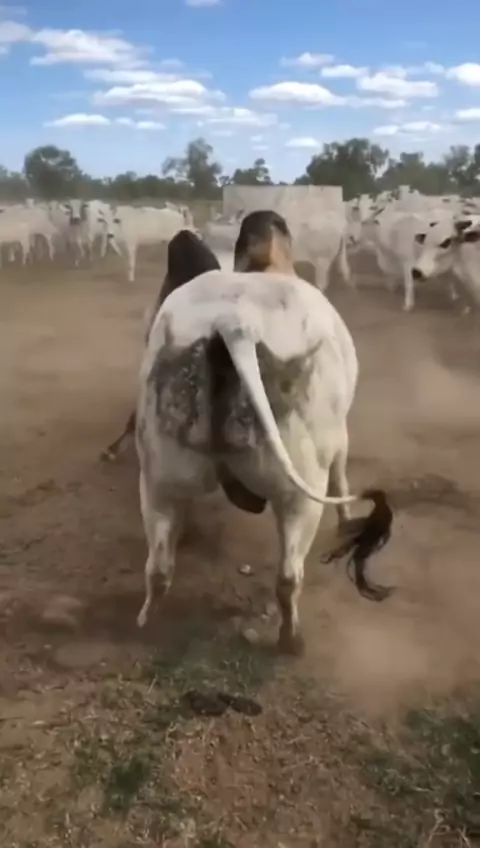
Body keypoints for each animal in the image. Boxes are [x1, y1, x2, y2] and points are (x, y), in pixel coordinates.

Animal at [135, 211, 394, 654]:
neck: (266, 264)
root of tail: (234, 325)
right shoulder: (338, 438)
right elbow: (342, 477)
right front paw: (346, 520)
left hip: (160, 476)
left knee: (159, 566)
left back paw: (146, 622)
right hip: (299, 492)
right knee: (289, 576)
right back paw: (291, 640)